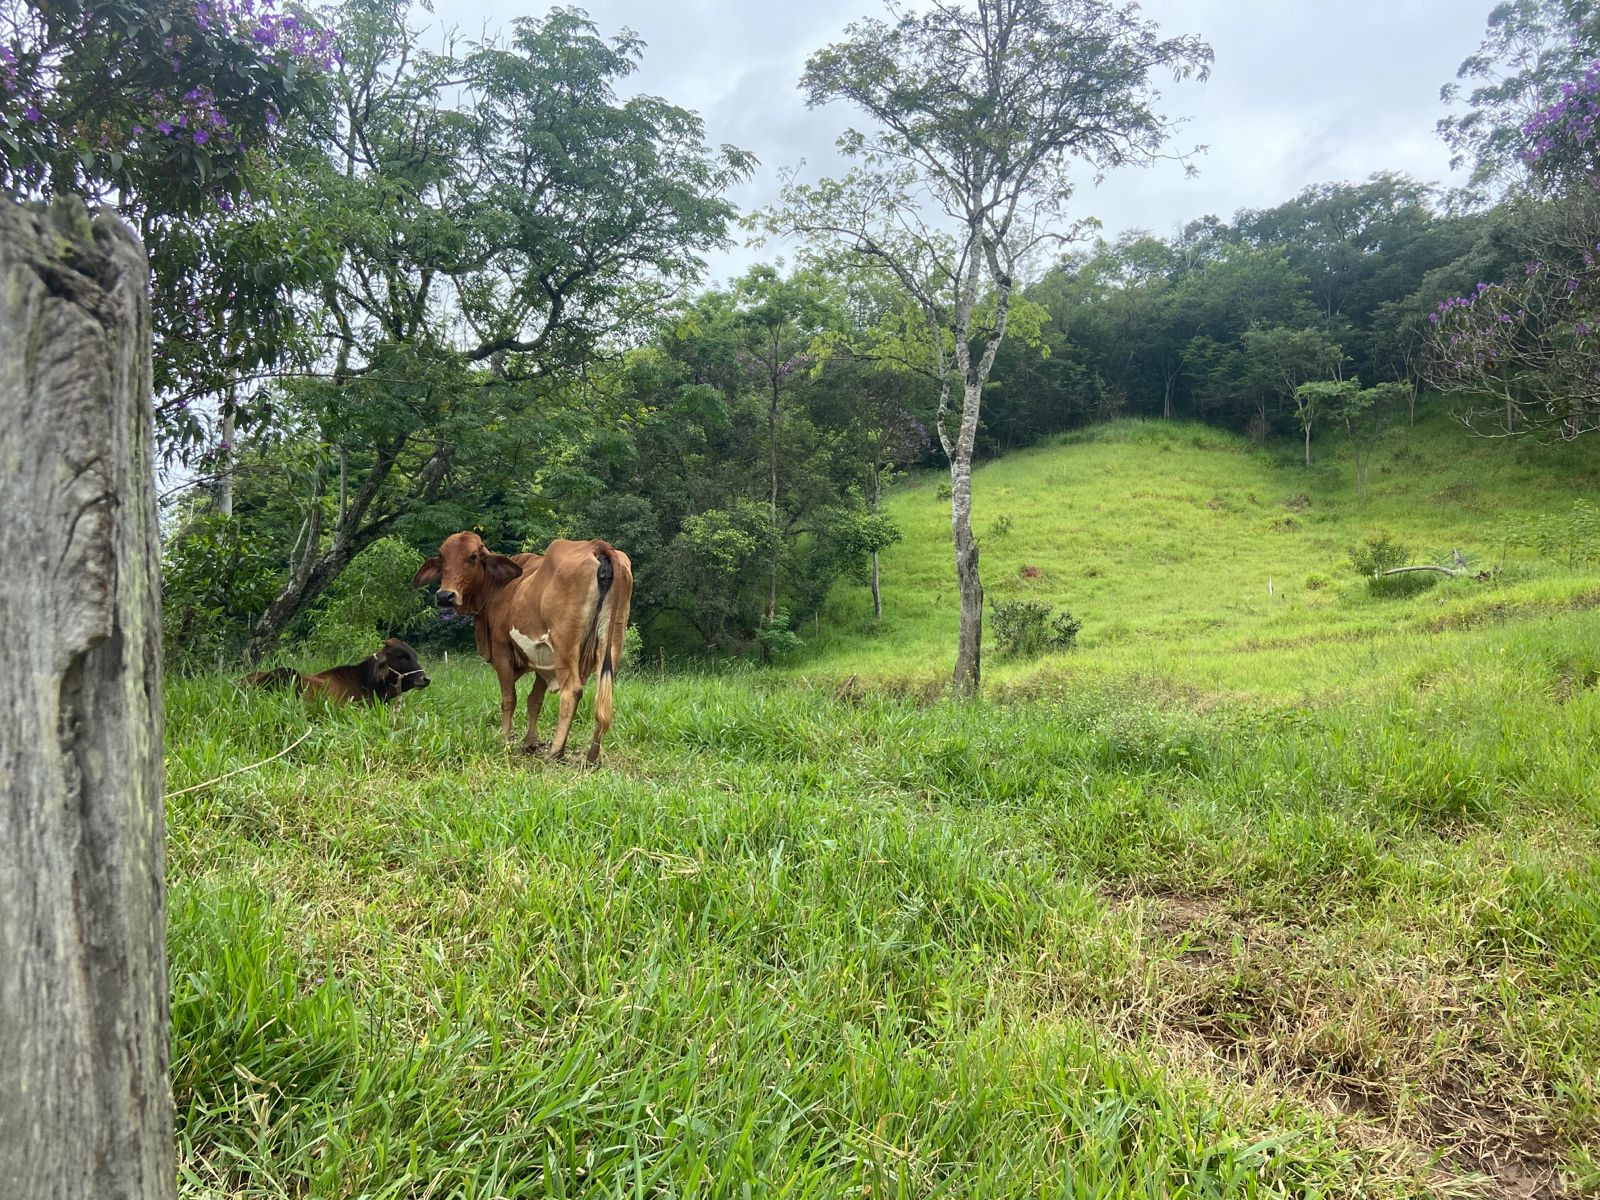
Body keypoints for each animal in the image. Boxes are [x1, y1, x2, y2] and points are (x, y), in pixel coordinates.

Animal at [412, 540, 630, 764]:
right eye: (442, 557)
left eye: (473, 556)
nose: (445, 596)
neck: (500, 588)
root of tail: (597, 545)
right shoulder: (544, 660)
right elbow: (534, 701)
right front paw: (530, 742)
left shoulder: (502, 650)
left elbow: (509, 699)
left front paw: (505, 740)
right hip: (612, 640)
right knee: (603, 693)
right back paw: (592, 755)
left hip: (565, 647)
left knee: (572, 691)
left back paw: (556, 750)